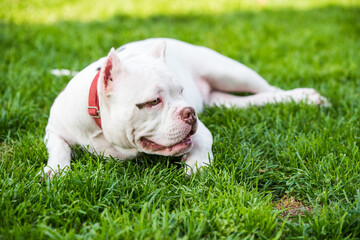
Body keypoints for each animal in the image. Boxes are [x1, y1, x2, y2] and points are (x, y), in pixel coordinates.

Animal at [40, 38, 328, 178]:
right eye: (153, 102)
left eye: (180, 91)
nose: (190, 112)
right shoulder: (54, 129)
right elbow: (60, 148)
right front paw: (56, 171)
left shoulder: (201, 131)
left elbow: (204, 140)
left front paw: (197, 164)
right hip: (222, 95)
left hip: (229, 71)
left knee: (271, 90)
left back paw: (304, 97)